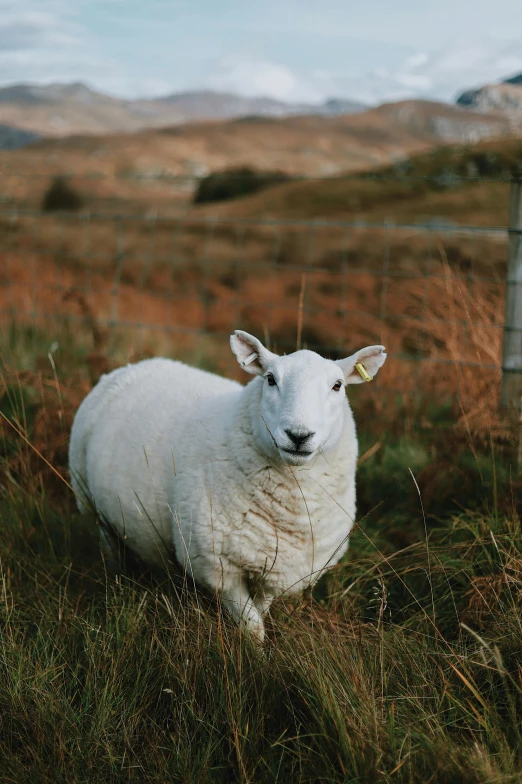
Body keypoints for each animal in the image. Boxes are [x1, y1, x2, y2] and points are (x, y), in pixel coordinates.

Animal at [69, 328, 384, 640]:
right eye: (270, 379)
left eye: (338, 385)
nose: (298, 435)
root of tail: (133, 366)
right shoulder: (218, 566)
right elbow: (252, 627)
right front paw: (254, 653)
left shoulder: (274, 569)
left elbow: (260, 612)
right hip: (91, 502)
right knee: (110, 545)